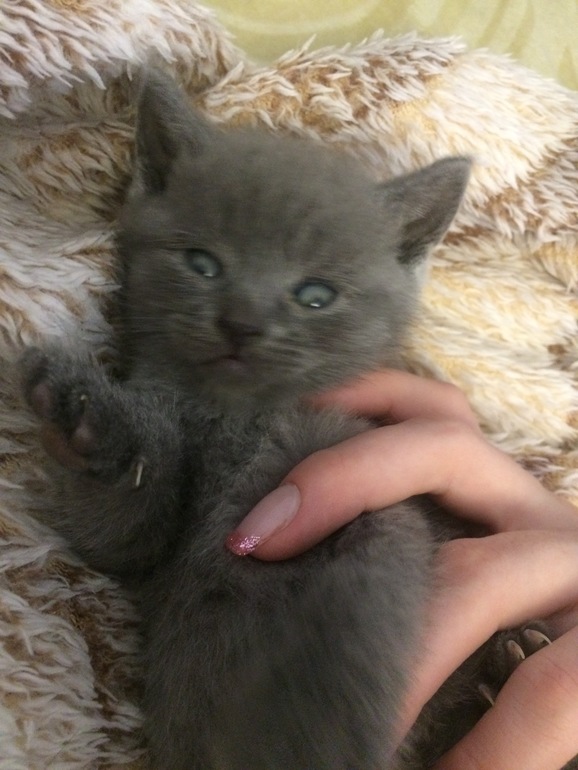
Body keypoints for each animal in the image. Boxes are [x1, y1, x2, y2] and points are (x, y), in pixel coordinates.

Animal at [20, 70, 556, 769]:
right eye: (201, 262)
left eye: (315, 296)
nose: (241, 323)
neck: (236, 420)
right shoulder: (141, 546)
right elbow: (119, 526)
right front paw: (84, 414)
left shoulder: (348, 469)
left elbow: (355, 594)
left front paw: (305, 732)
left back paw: (512, 658)